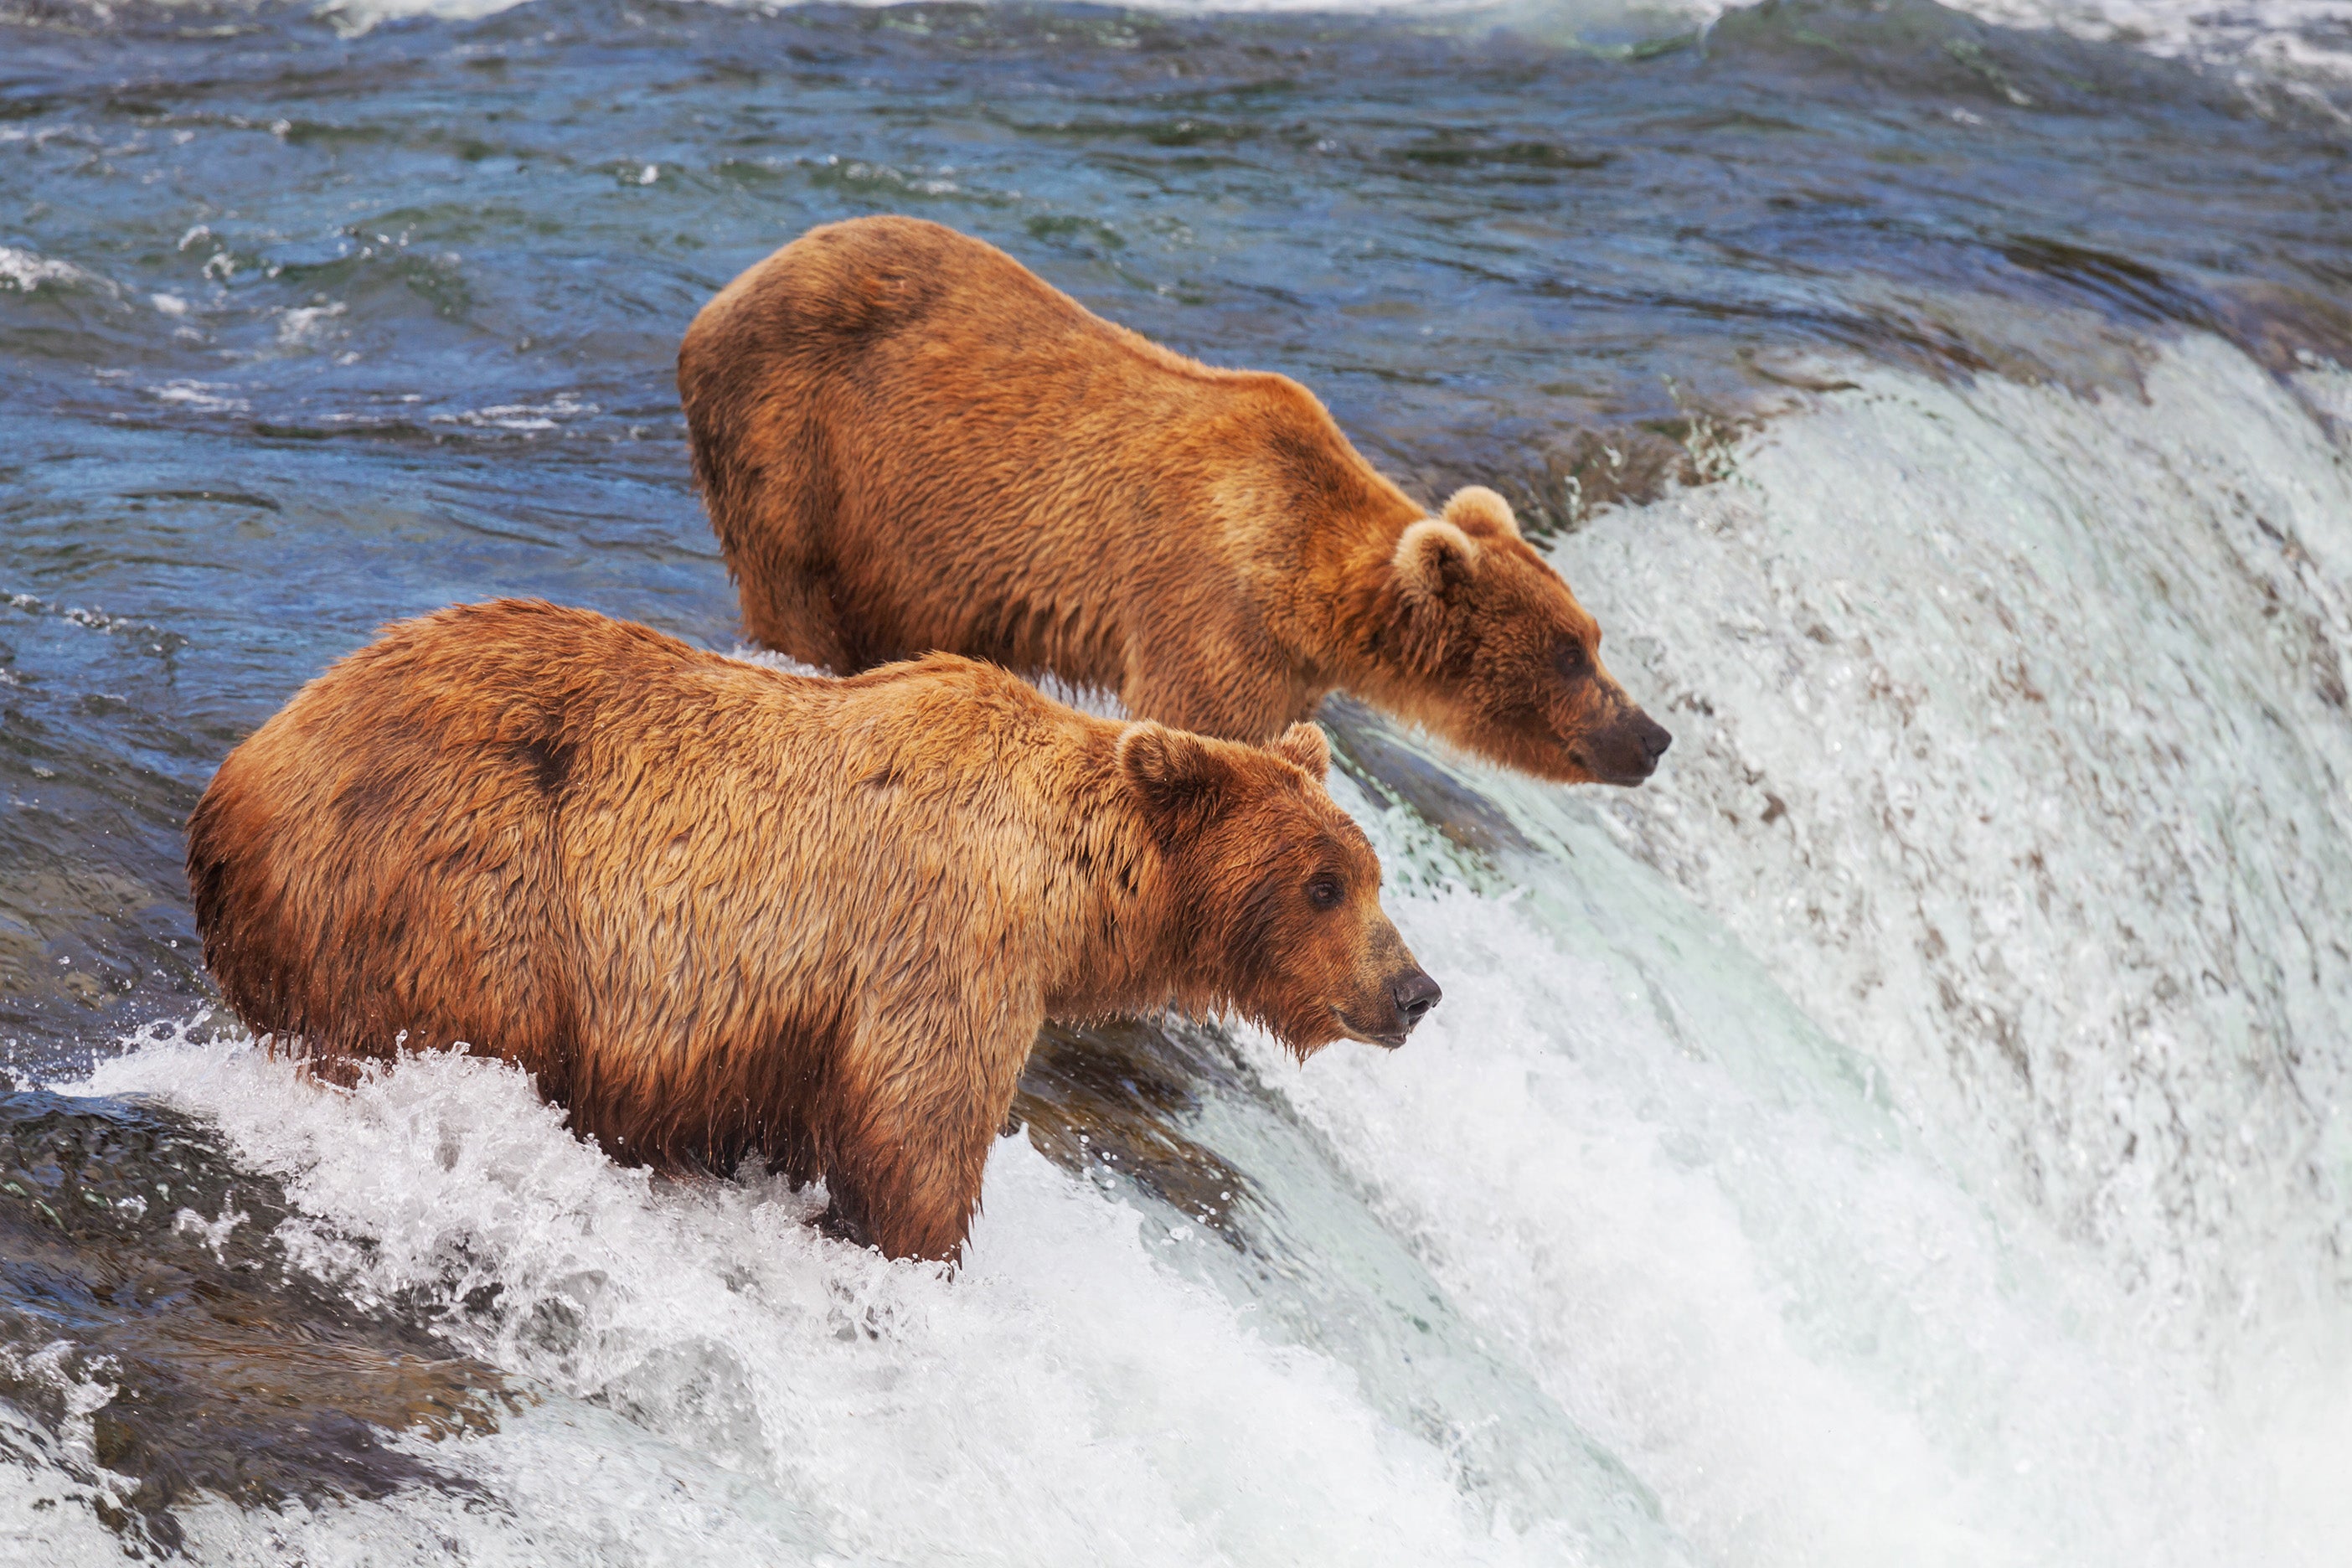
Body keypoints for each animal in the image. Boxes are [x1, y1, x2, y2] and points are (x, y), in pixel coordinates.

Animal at [188, 601, 1430, 1260]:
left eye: (1372, 875)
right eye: (1325, 884)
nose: (1416, 989)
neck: (1070, 893)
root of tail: (238, 780)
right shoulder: (941, 943)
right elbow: (919, 1132)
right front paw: (919, 1251)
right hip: (465, 884)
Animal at [677, 211, 1674, 785]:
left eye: (1593, 637)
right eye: (1568, 655)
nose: (1653, 734)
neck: (1309, 587)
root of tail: (728, 288)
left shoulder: (1284, 662)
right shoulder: (1208, 615)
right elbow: (1202, 732)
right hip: (798, 448)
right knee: (796, 594)